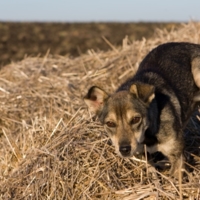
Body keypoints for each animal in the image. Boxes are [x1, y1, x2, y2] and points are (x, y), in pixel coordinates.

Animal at [84, 42, 200, 175]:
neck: (148, 136)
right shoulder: (143, 155)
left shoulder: (177, 157)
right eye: (110, 123)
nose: (124, 149)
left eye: (136, 119)